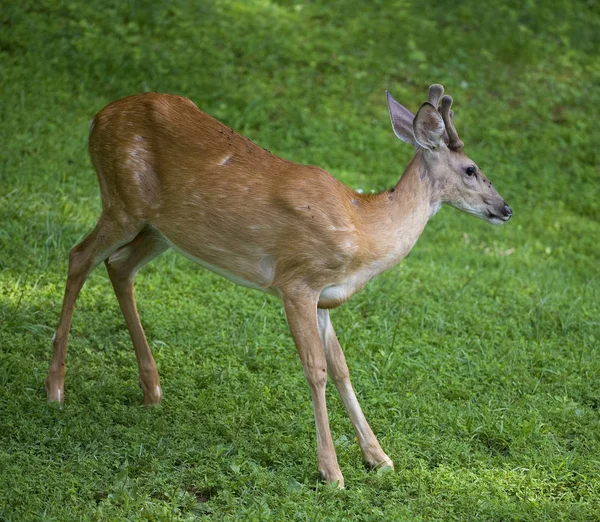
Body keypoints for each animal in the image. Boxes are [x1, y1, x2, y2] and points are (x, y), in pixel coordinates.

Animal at [48, 83, 510, 486]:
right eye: (471, 169)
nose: (505, 208)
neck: (363, 227)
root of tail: (97, 118)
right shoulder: (297, 281)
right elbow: (316, 369)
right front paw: (332, 473)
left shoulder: (324, 298)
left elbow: (342, 367)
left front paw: (378, 457)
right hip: (121, 201)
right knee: (79, 256)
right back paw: (55, 388)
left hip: (159, 230)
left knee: (118, 265)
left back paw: (152, 389)